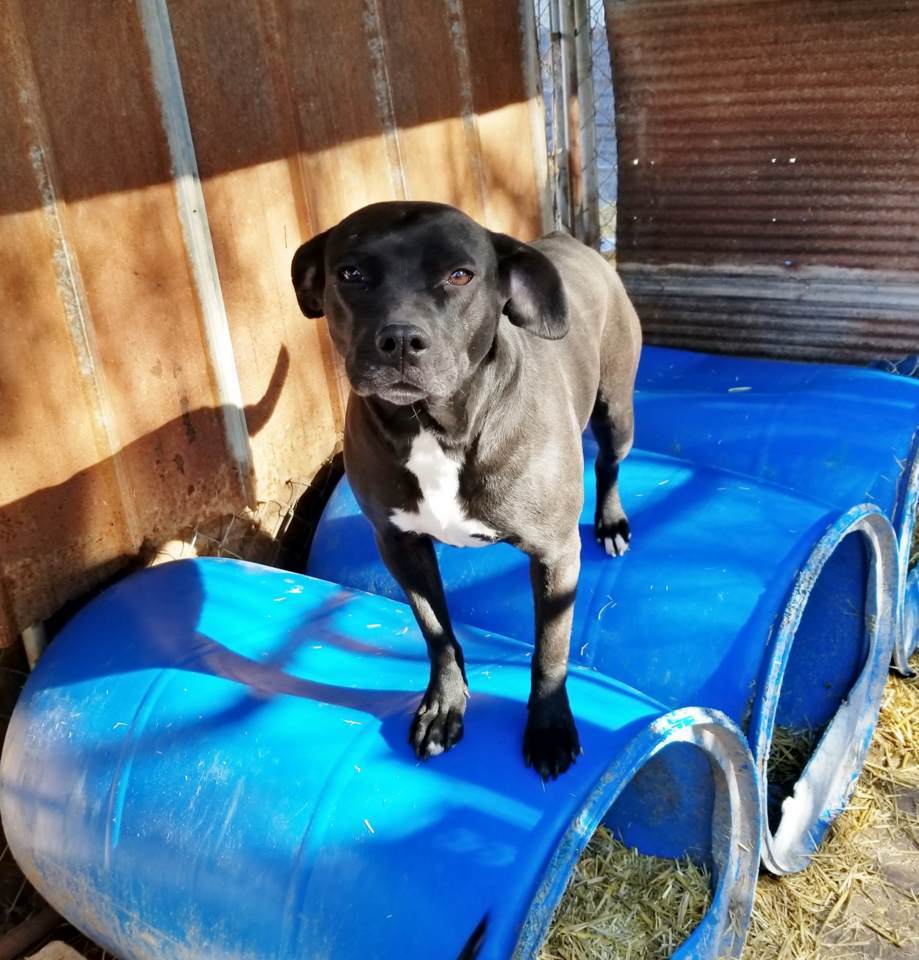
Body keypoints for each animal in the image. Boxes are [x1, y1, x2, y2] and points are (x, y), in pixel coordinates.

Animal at [292, 202, 640, 780]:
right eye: (351, 273)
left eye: (460, 275)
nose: (400, 340)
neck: (435, 426)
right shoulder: (399, 545)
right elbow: (436, 632)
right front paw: (444, 706)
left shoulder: (555, 554)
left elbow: (551, 647)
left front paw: (549, 729)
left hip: (616, 408)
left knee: (609, 463)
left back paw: (611, 522)